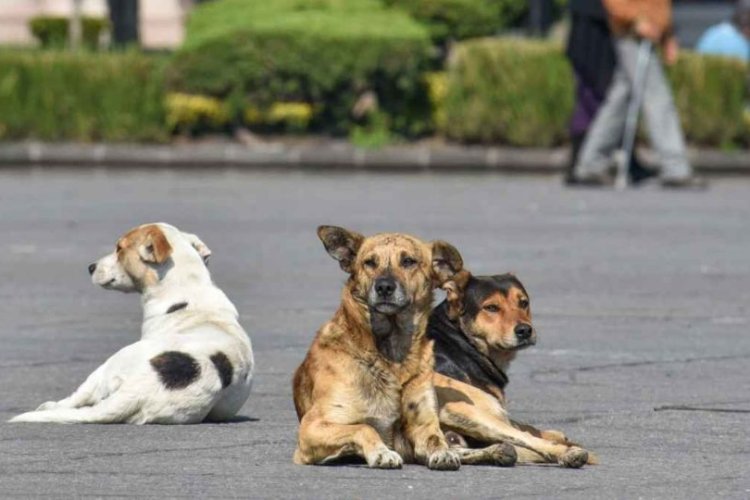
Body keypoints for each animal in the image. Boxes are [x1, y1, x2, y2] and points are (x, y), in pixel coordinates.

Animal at [10, 225, 256, 424]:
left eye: (119, 248)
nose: (90, 267)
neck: (188, 287)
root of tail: (139, 389)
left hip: (109, 365)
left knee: (77, 397)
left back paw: (50, 405)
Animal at [292, 227, 516, 468]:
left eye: (408, 261)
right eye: (369, 262)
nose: (384, 287)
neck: (392, 354)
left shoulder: (422, 426)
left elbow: (436, 440)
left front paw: (443, 453)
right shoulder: (312, 428)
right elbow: (364, 427)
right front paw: (382, 452)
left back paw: (497, 451)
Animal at [428, 272, 600, 466]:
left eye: (523, 303)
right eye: (491, 307)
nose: (525, 330)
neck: (460, 339)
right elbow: (524, 430)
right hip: (466, 412)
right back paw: (571, 453)